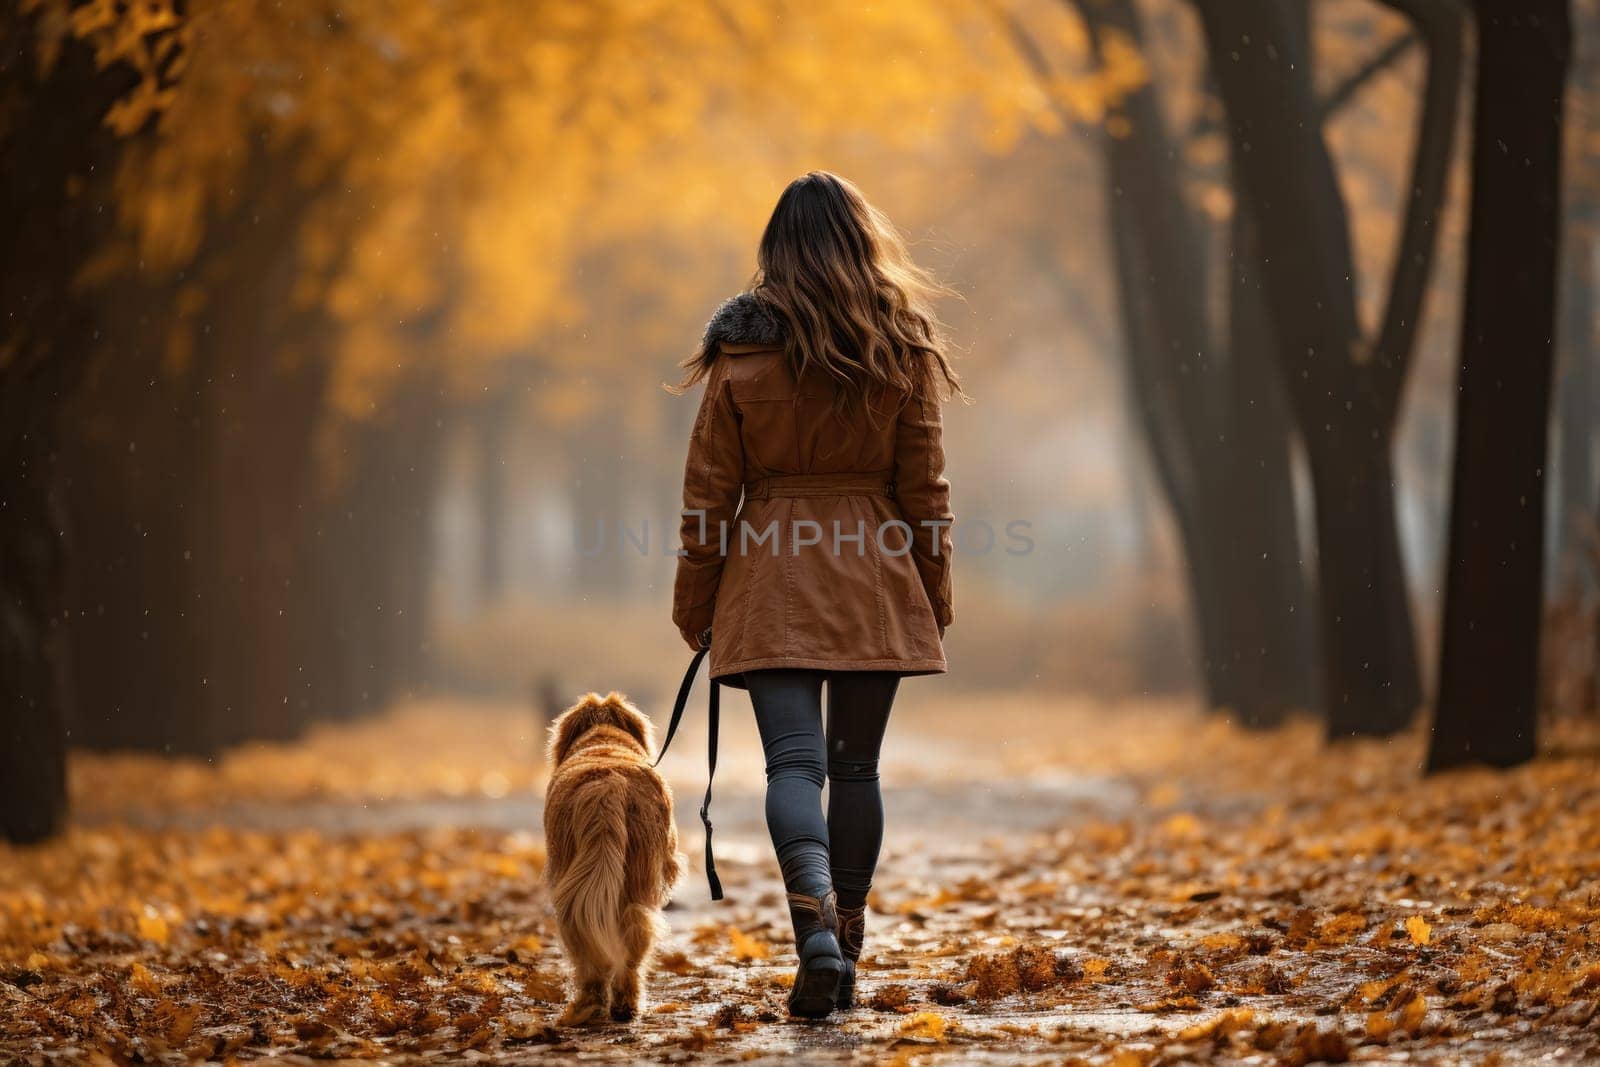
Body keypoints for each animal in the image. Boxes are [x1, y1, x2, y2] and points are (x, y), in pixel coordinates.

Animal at [544, 694, 681, 1023]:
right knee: (631, 943)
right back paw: (621, 1006)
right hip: (633, 883)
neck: (604, 741)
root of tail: (606, 785)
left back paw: (591, 1006)